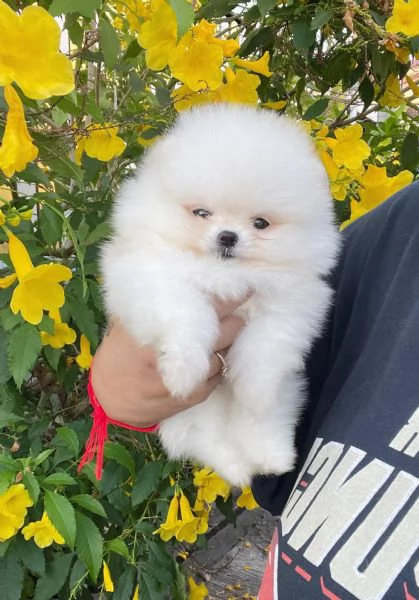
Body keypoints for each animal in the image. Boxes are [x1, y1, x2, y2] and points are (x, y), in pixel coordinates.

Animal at [101, 104, 342, 488]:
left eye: (260, 223)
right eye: (201, 213)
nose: (228, 236)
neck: (226, 275)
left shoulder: (292, 302)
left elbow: (265, 346)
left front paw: (256, 391)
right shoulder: (150, 276)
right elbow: (187, 313)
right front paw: (182, 371)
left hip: (284, 397)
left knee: (262, 425)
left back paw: (270, 457)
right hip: (197, 413)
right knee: (210, 441)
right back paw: (235, 466)